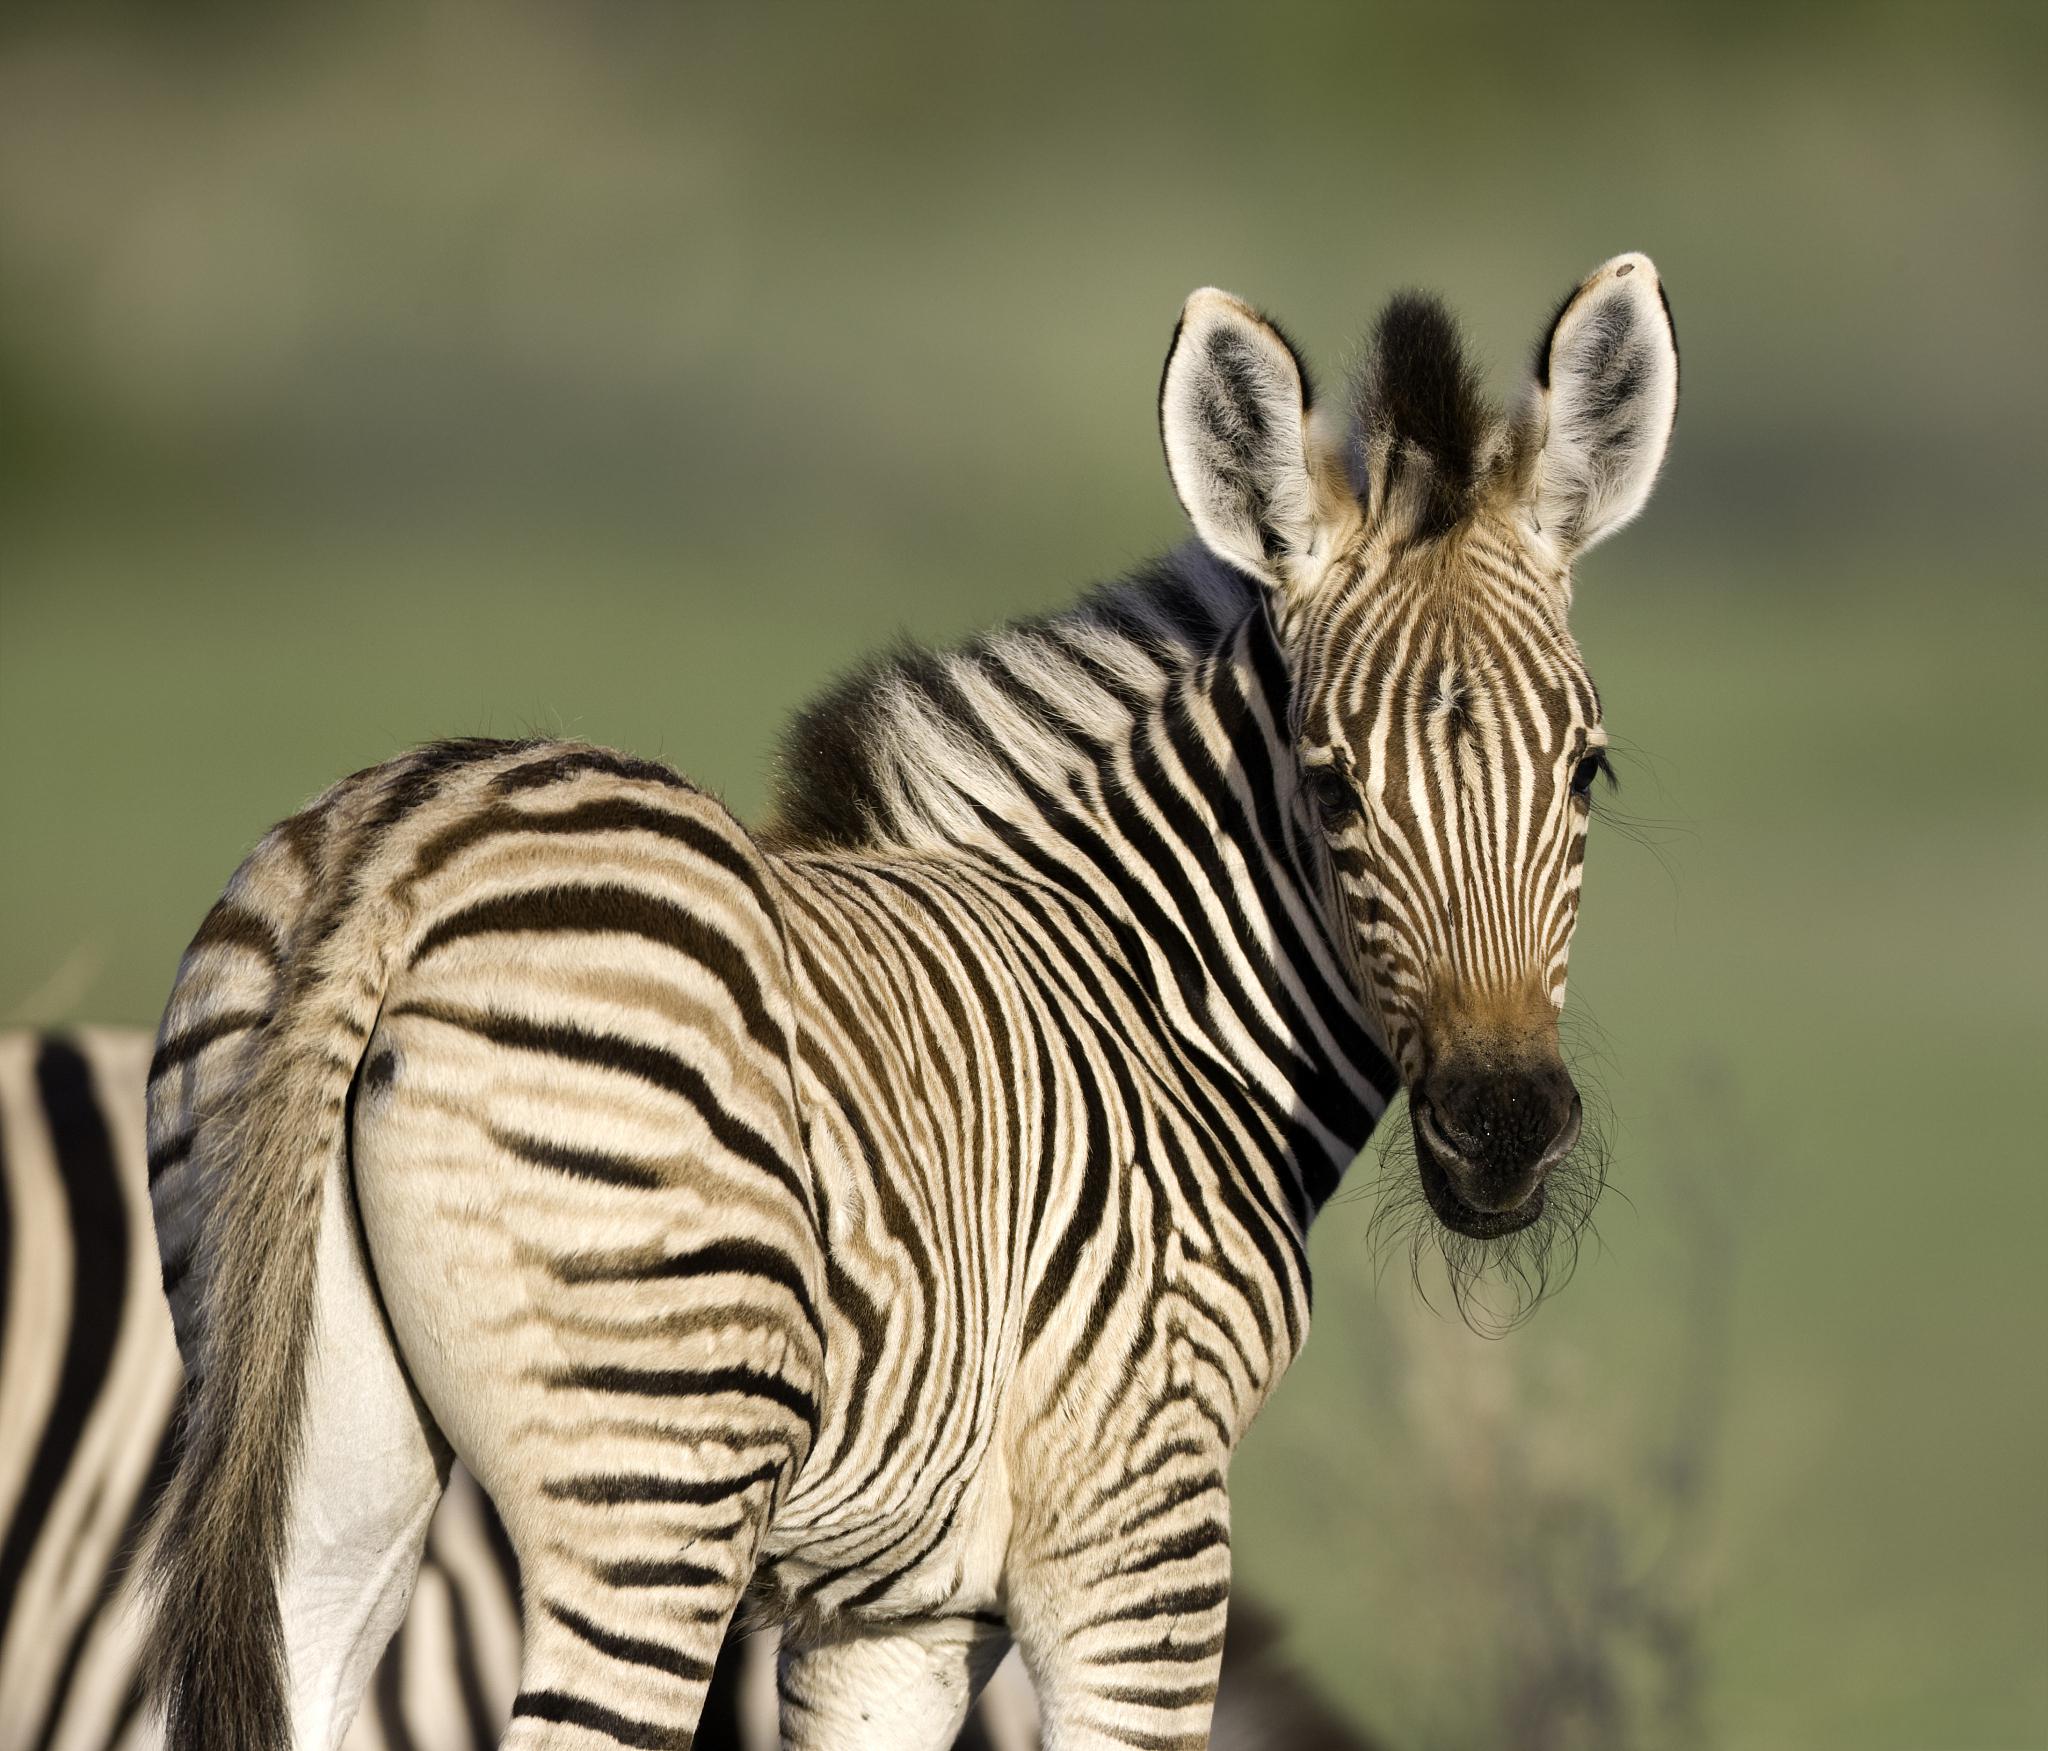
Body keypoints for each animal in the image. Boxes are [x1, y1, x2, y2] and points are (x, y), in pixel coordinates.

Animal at [140, 249, 1679, 1751]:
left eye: (1587, 769)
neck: (1148, 996)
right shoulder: (1140, 1531)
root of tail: (406, 841)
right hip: (657, 1482)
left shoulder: (896, 1612)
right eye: (1329, 783)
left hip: (323, 1461)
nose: (1501, 1127)